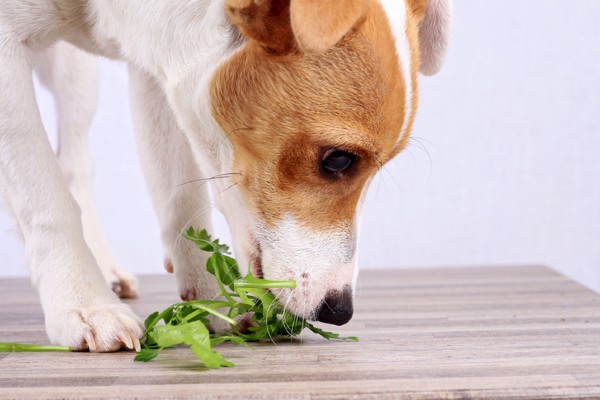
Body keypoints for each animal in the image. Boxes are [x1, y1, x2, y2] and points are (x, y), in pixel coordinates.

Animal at [0, 0, 450, 350]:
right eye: (338, 160)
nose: (339, 312)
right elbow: (47, 200)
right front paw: (83, 304)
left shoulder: (153, 73)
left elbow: (180, 197)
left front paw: (209, 298)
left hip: (77, 78)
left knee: (76, 161)